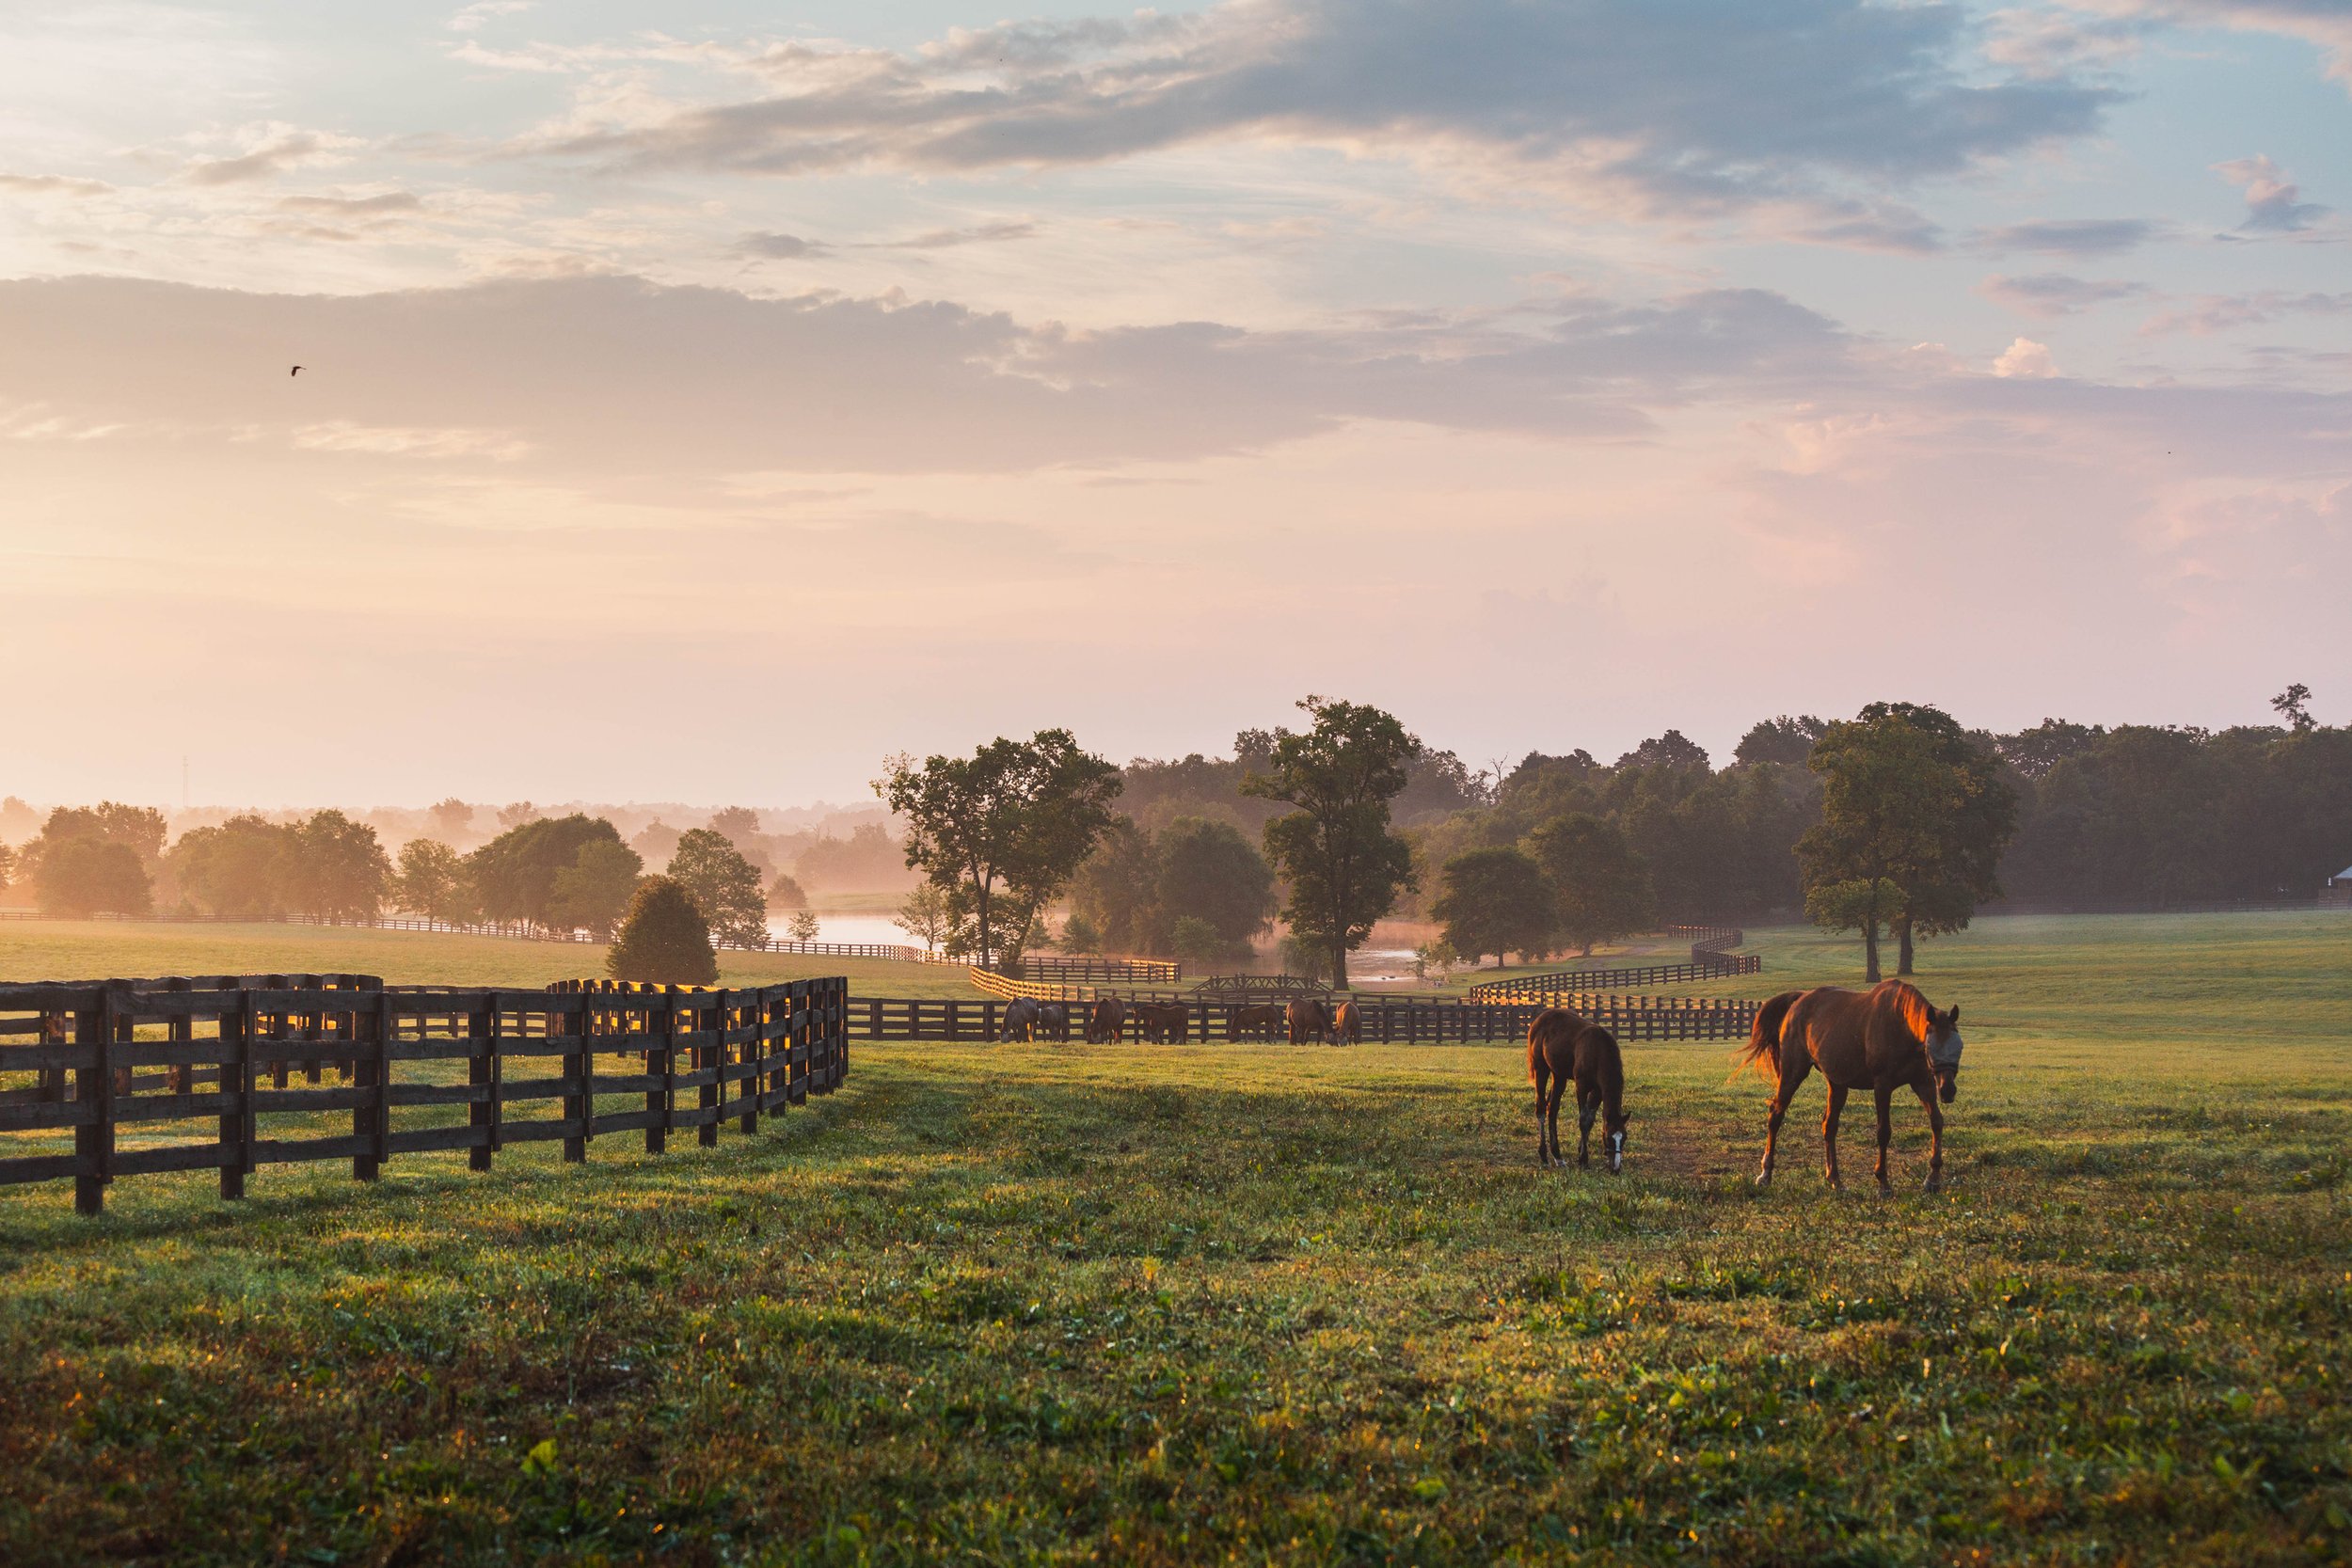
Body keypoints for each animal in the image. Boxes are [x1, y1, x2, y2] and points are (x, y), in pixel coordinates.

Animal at [1527, 1007, 1627, 1172]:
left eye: (1624, 1137)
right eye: (1608, 1138)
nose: (1616, 1168)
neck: (1598, 1050)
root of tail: (1537, 1021)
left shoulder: (1597, 1091)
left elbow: (1590, 1120)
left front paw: (1581, 1151)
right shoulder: (1582, 1086)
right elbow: (1583, 1120)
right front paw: (1583, 1159)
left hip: (1559, 1075)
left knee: (1552, 1110)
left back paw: (1558, 1156)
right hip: (1541, 1069)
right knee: (1541, 1109)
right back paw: (1544, 1155)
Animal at [1739, 981, 1964, 1194]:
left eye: (1959, 1046)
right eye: (1930, 1046)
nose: (1948, 1091)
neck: (1901, 1027)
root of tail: (1800, 999)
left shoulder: (1923, 1083)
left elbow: (1937, 1122)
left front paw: (1933, 1178)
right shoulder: (1882, 1086)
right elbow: (1884, 1132)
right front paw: (1883, 1182)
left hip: (1837, 1083)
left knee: (1829, 1126)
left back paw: (1835, 1179)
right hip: (1792, 1074)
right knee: (1776, 1115)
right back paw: (1765, 1174)